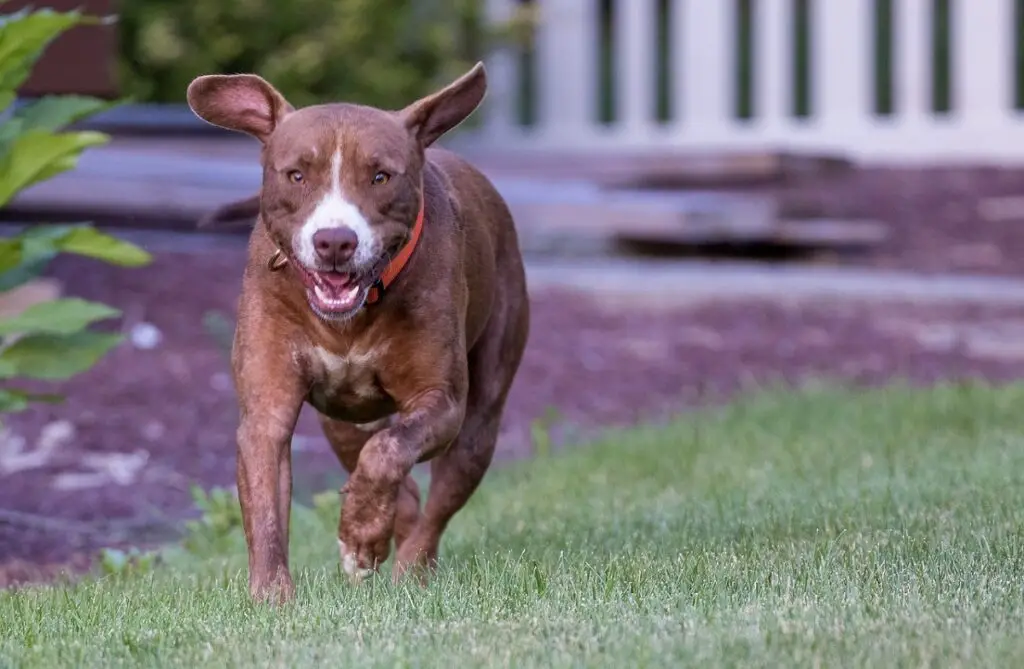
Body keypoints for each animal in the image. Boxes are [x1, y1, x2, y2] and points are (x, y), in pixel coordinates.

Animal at [185, 64, 532, 606]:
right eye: (297, 174)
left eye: (380, 176)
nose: (334, 241)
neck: (354, 315)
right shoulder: (266, 408)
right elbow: (265, 508)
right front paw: (271, 596)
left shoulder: (442, 401)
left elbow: (388, 452)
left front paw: (362, 533)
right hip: (342, 425)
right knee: (391, 476)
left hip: (480, 420)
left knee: (437, 496)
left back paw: (408, 566)